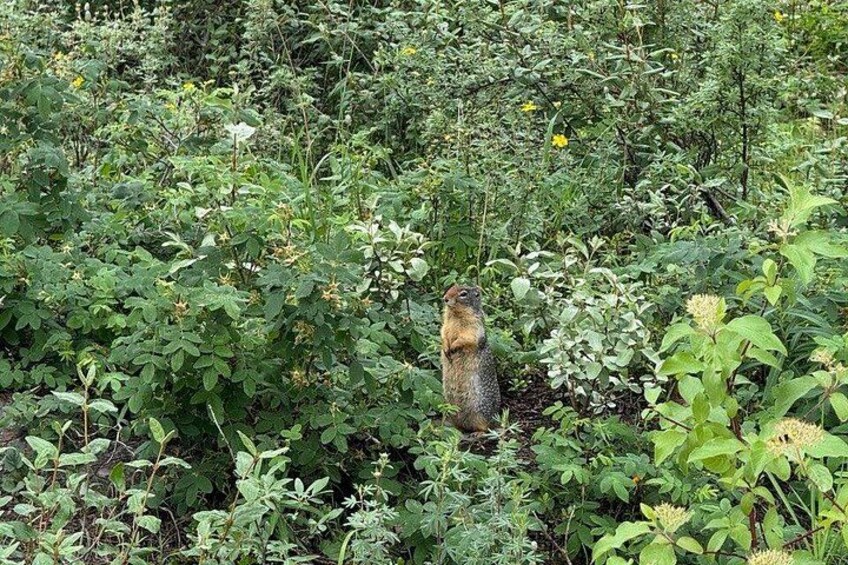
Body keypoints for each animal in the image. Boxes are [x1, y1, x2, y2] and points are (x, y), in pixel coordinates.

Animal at [440, 284, 500, 432]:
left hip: (479, 412)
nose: (445, 298)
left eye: (463, 294)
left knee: (486, 428)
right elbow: (443, 333)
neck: (455, 314)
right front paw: (446, 348)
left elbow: (466, 337)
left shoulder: (473, 326)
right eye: (451, 287)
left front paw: (453, 347)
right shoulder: (445, 325)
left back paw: (477, 433)